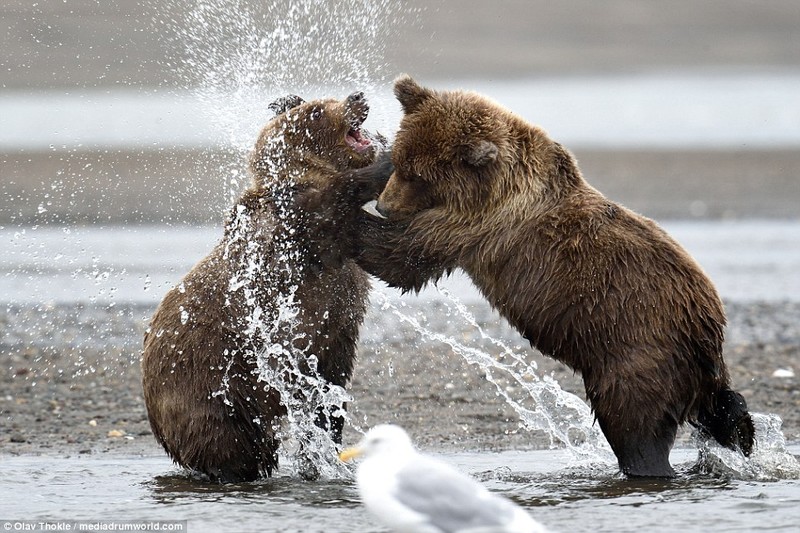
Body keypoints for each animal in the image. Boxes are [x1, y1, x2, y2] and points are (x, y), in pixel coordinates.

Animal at [141, 91, 390, 482]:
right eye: (317, 111)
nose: (357, 96)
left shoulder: (340, 321)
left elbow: (332, 383)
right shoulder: (293, 235)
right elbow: (335, 198)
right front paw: (386, 162)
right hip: (210, 389)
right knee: (229, 443)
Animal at [358, 76, 756, 478]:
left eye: (419, 176)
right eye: (402, 162)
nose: (385, 206)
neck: (500, 182)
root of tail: (707, 325)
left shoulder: (473, 224)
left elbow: (403, 258)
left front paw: (347, 219)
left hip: (638, 351)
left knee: (637, 426)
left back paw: (649, 466)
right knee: (722, 409)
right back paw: (737, 438)